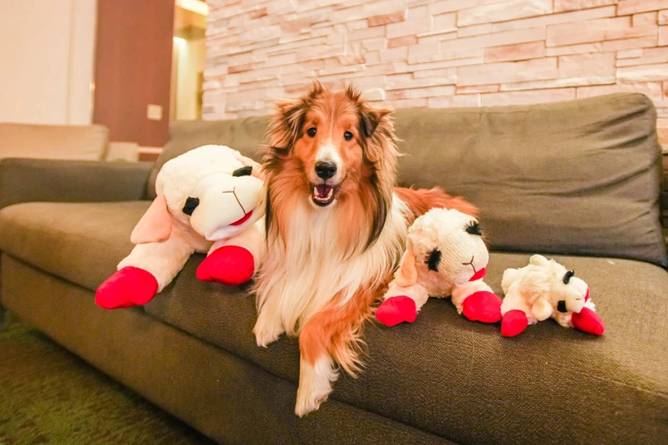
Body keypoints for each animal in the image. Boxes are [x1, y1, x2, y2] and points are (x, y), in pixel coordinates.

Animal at [253, 82, 478, 416]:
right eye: (311, 131)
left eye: (348, 135)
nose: (325, 168)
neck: (324, 217)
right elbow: (283, 286)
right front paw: (268, 321)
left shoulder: (362, 283)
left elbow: (313, 324)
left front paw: (310, 388)